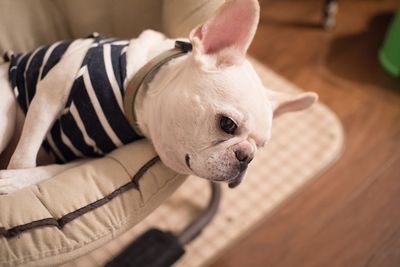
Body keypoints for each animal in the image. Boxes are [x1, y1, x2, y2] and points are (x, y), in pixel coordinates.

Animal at [0, 0, 318, 194]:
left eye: (260, 148)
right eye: (227, 124)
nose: (247, 157)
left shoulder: (89, 158)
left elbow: (52, 171)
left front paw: (17, 183)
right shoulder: (53, 87)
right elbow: (25, 156)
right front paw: (16, 178)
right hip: (6, 114)